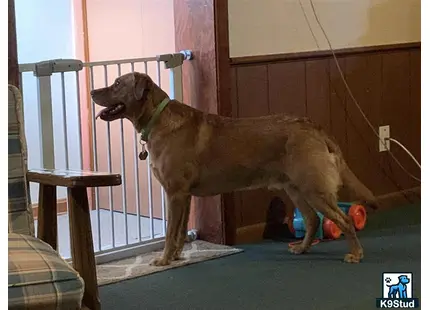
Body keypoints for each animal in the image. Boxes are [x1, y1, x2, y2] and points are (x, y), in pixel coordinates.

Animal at [90, 71, 376, 266]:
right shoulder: (185, 195)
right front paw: (178, 256)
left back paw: (356, 254)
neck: (157, 118)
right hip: (295, 188)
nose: (92, 91)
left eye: (117, 84)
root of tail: (314, 127)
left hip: (313, 188)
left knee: (344, 219)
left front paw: (163, 260)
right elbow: (180, 232)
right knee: (312, 219)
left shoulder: (175, 193)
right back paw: (302, 249)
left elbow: (171, 232)